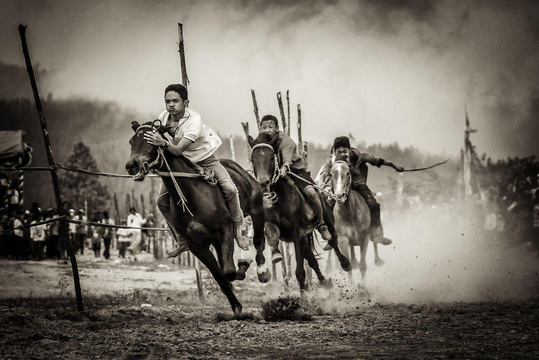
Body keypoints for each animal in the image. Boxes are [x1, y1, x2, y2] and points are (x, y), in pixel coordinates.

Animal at [125, 121, 270, 316]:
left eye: (150, 141)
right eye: (132, 141)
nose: (132, 165)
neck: (193, 195)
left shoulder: (225, 231)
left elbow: (228, 271)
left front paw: (244, 265)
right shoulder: (197, 246)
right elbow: (220, 275)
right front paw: (236, 306)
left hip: (257, 210)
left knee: (258, 240)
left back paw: (262, 270)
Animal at [248, 132, 352, 290]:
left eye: (271, 158)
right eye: (253, 159)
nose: (263, 183)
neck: (280, 198)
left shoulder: (297, 233)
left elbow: (300, 272)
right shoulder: (273, 224)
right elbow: (272, 236)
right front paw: (275, 256)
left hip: (327, 221)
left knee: (333, 240)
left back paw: (345, 263)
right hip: (305, 238)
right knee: (312, 260)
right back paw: (324, 282)